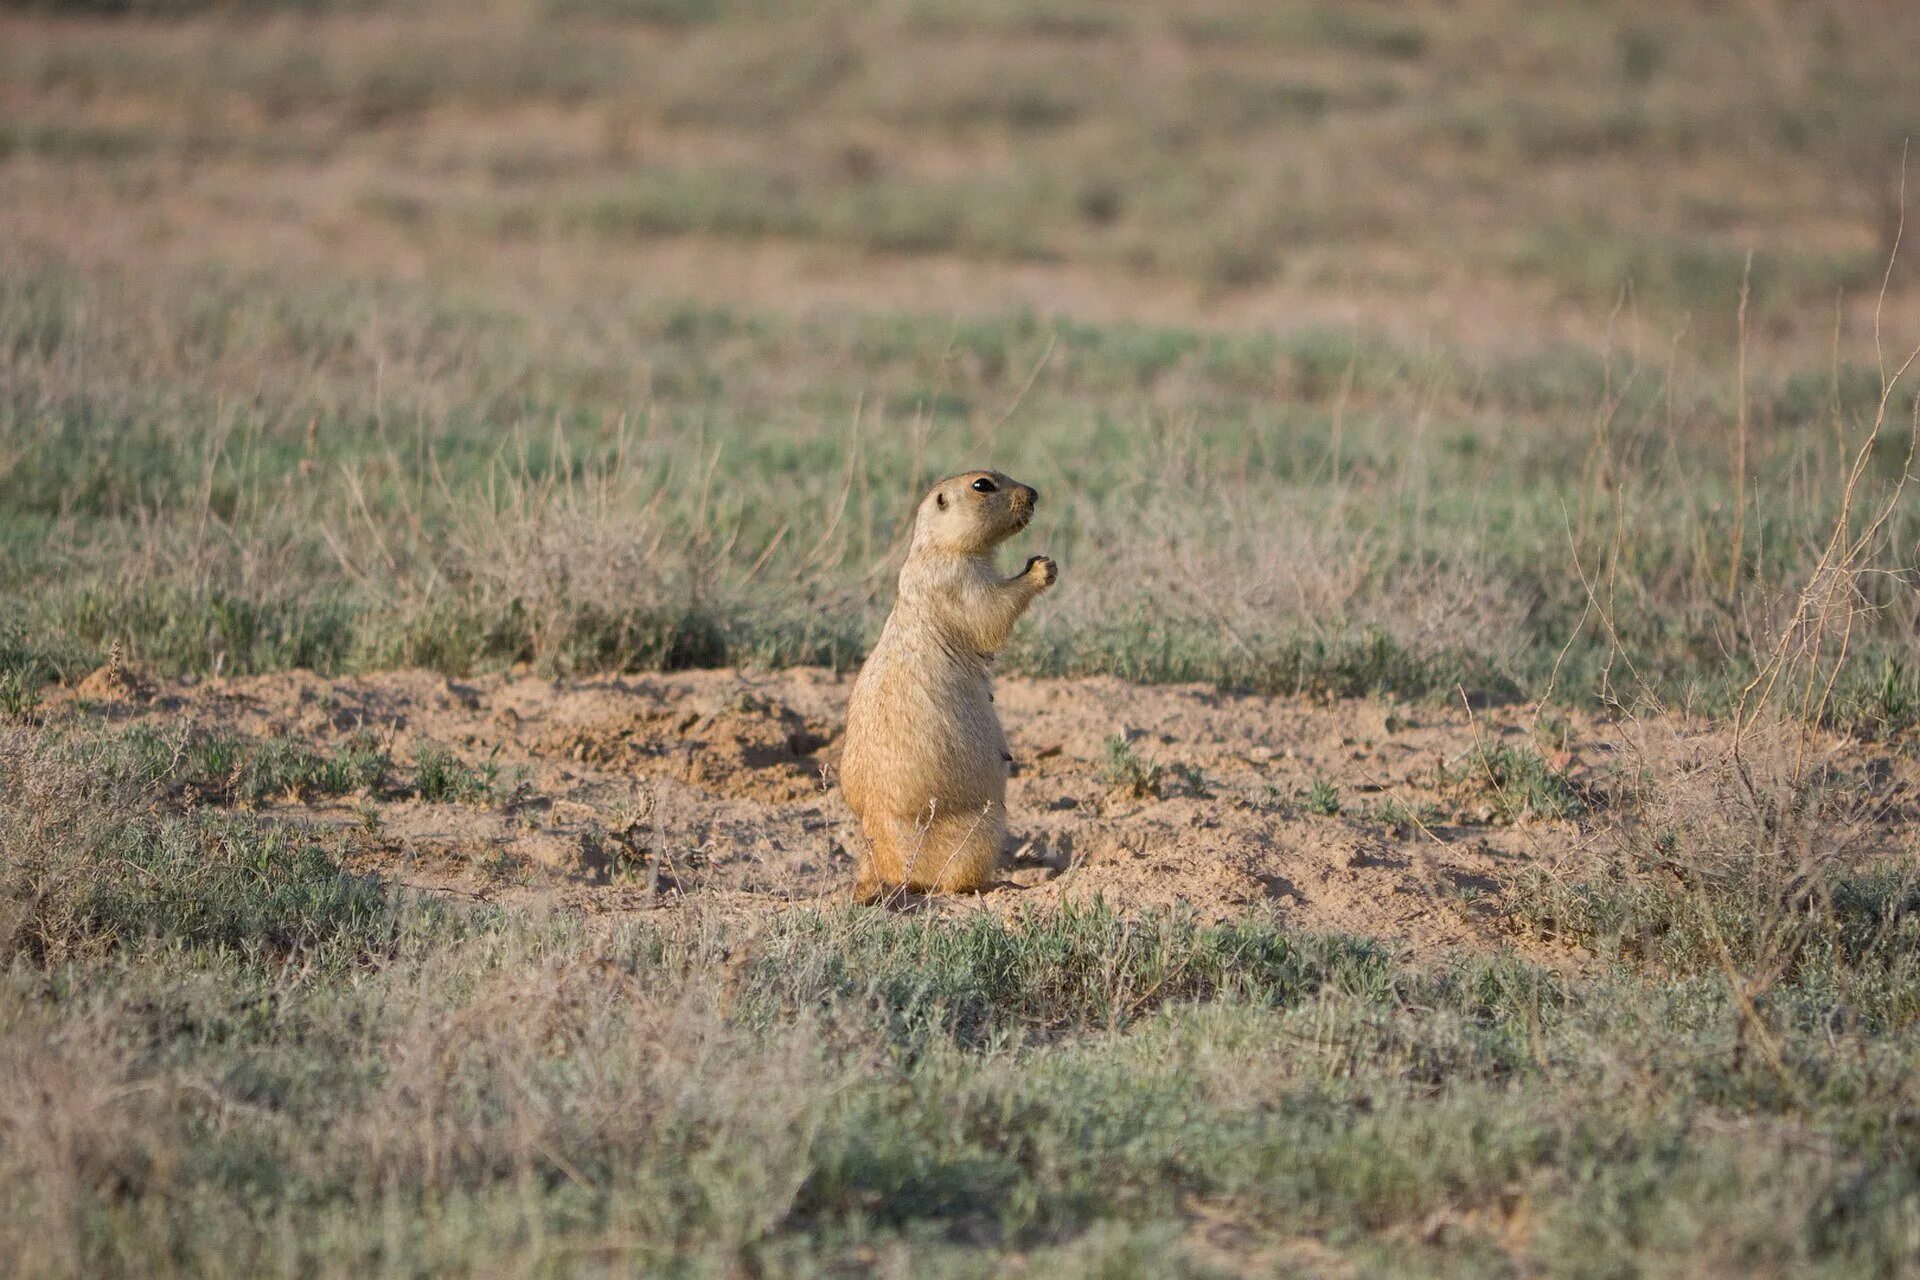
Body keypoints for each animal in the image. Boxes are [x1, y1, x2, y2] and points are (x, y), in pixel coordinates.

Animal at [837, 470, 1059, 901]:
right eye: (983, 485)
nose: (1035, 493)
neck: (935, 547)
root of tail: (880, 864)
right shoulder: (958, 580)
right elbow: (990, 611)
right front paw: (1042, 568)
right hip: (981, 826)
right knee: (955, 881)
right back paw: (1000, 881)